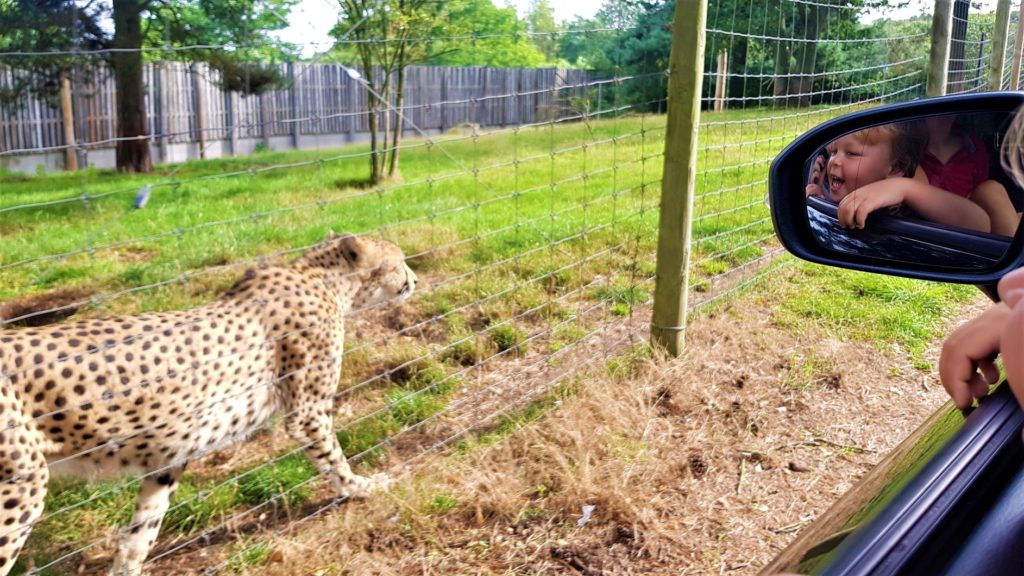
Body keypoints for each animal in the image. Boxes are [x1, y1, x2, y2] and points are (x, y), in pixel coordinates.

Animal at [0, 230, 419, 569]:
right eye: (399, 260)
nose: (414, 278)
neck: (323, 279)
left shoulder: (168, 453)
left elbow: (140, 534)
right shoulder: (308, 412)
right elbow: (335, 460)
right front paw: (362, 487)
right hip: (21, 487)